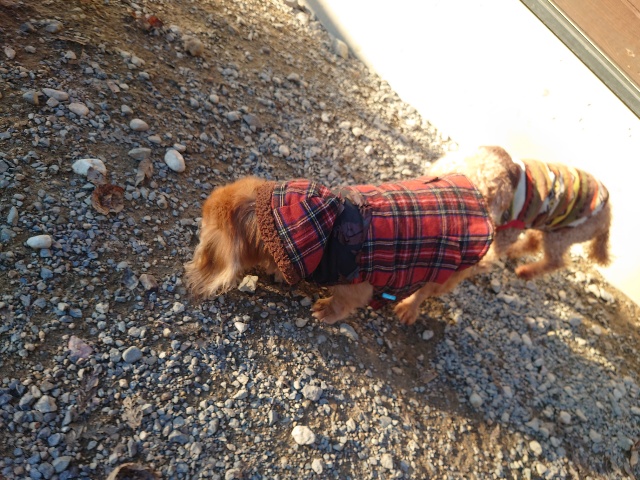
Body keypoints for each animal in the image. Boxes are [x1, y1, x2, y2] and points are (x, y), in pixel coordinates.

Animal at [184, 174, 496, 325]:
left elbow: (342, 303)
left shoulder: (356, 284)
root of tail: (482, 204)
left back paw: (407, 308)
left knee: (424, 292)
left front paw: (325, 311)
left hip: (445, 270)